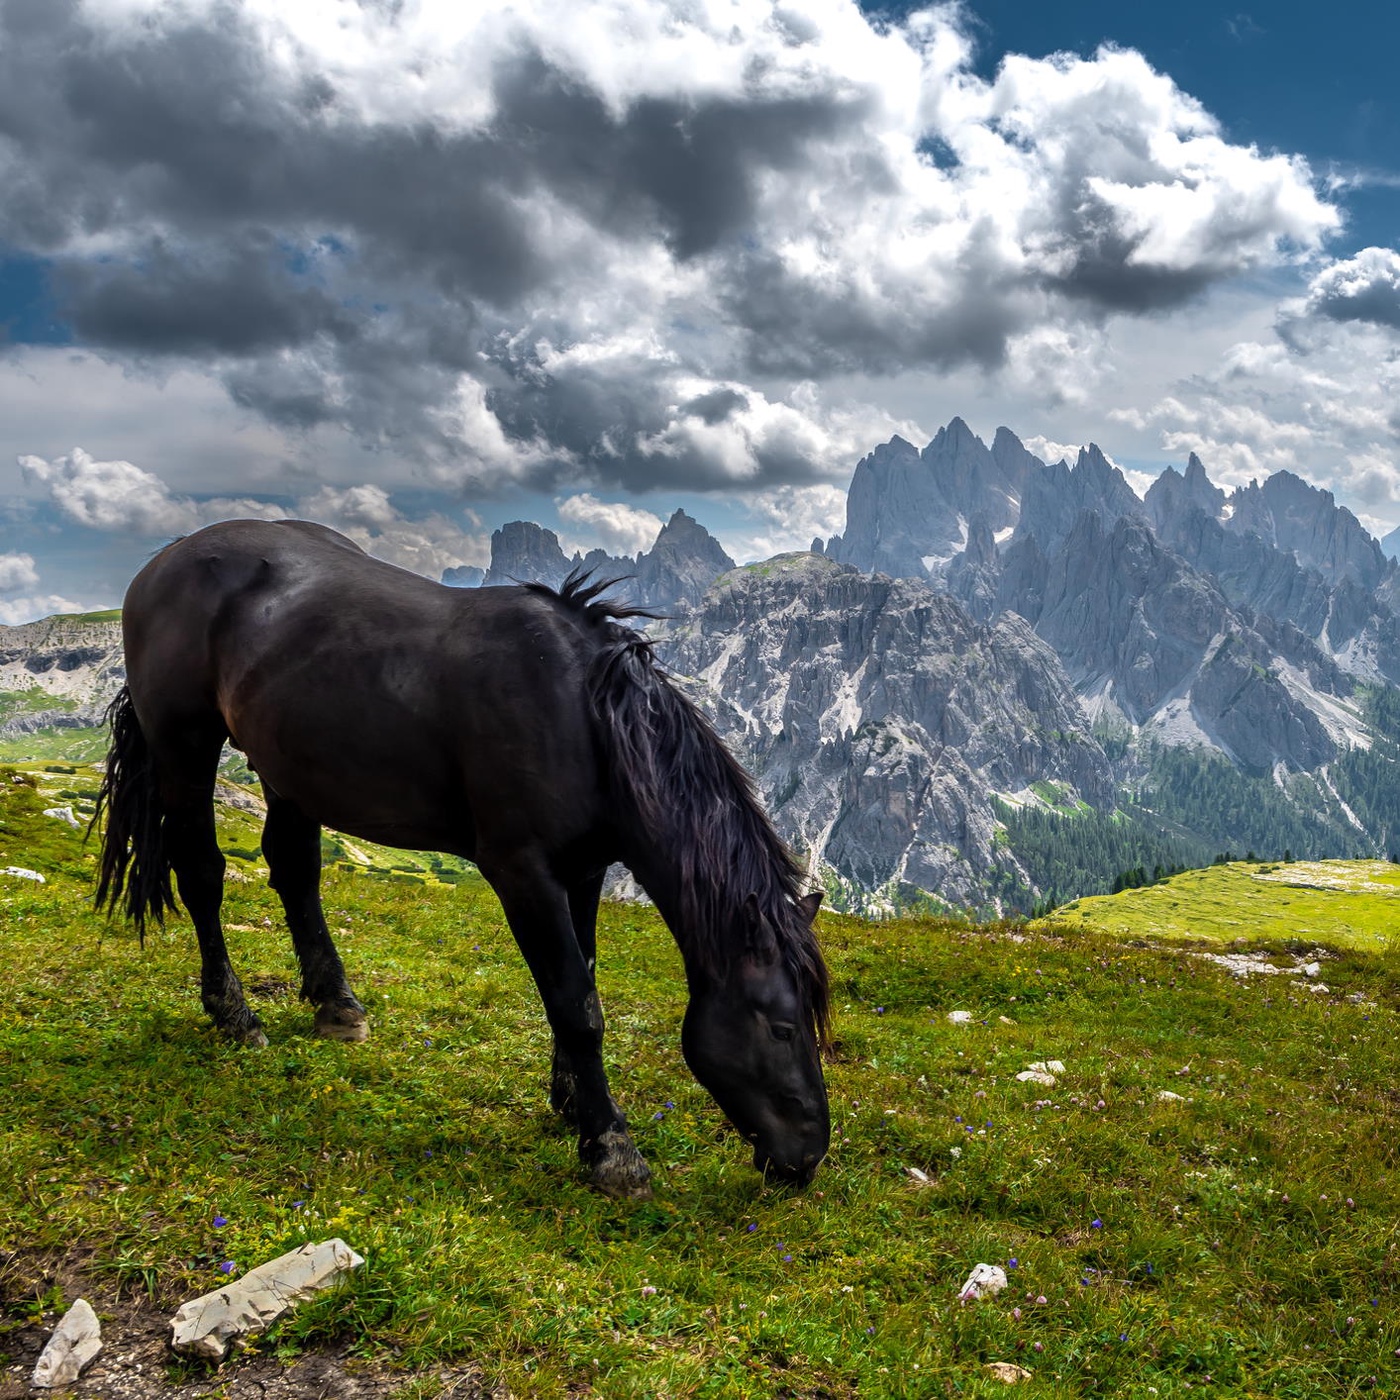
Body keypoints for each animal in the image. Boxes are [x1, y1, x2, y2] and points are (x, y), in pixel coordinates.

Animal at [95, 520, 828, 1198]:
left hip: (289, 765)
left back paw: (337, 1005)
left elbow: (583, 978)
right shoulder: (521, 872)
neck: (581, 714)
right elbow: (575, 1001)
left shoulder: (585, 869)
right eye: (782, 1027)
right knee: (201, 874)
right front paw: (611, 1148)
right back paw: (233, 1014)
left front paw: (571, 1103)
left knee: (295, 870)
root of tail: (165, 560)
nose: (808, 1158)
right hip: (185, 747)